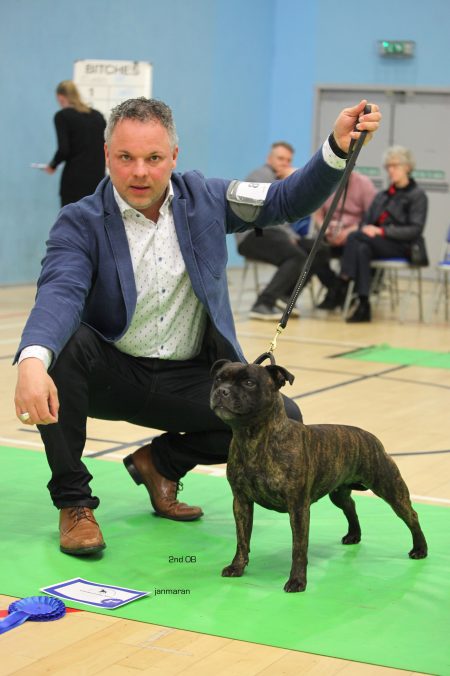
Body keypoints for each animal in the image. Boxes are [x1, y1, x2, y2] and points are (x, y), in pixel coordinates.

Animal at [210, 359, 428, 592]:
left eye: (249, 383)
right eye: (218, 379)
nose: (222, 391)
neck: (253, 438)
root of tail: (371, 437)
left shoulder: (298, 508)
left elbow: (298, 547)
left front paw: (297, 581)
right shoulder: (241, 502)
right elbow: (242, 540)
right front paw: (237, 566)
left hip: (390, 489)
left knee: (411, 515)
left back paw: (420, 549)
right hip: (339, 494)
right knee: (351, 507)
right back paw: (354, 535)